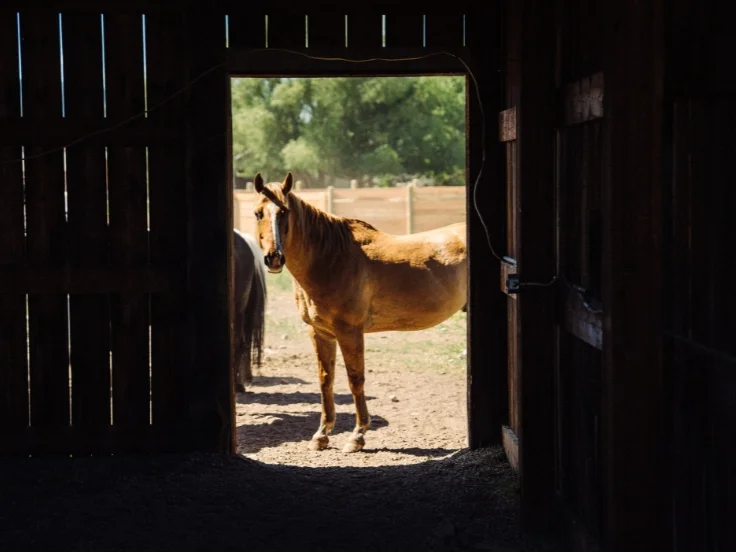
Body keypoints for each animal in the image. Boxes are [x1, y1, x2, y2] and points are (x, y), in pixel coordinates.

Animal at [251, 172, 467, 453]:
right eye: (258, 213)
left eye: (284, 212)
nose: (274, 258)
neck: (331, 257)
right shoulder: (319, 332)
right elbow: (326, 379)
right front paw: (321, 435)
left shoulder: (350, 331)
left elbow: (355, 379)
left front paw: (358, 436)